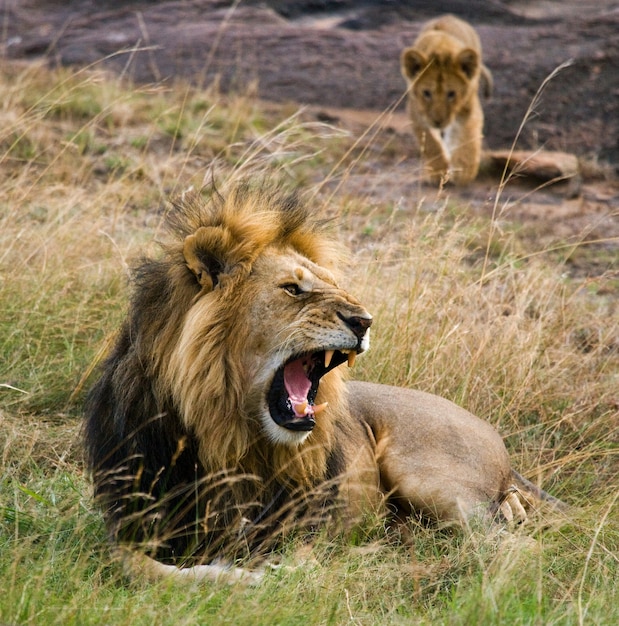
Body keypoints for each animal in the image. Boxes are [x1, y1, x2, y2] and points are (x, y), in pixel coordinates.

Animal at [83, 180, 568, 580]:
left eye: (332, 284)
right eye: (292, 289)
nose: (365, 320)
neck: (230, 437)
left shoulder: (307, 527)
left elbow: (290, 563)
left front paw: (266, 574)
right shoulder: (129, 525)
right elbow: (142, 567)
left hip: (427, 477)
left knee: (515, 547)